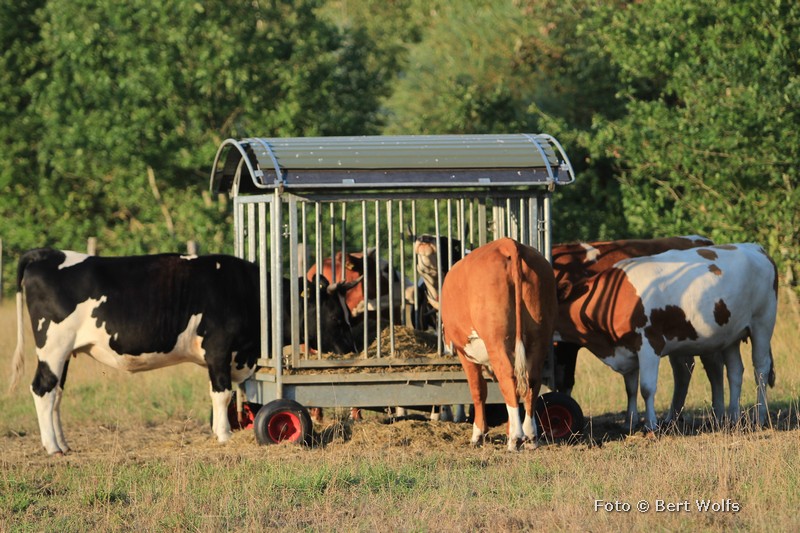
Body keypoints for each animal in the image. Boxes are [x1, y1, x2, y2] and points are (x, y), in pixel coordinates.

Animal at [8, 248, 357, 455]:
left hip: (65, 353)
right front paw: (224, 436)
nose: (353, 347)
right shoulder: (218, 349)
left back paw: (64, 444)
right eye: (336, 317)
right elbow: (222, 393)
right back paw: (52, 447)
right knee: (42, 390)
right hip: (53, 347)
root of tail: (47, 254)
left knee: (55, 394)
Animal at [441, 238, 557, 451]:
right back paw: (530, 436)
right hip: (540, 336)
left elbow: (478, 390)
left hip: (497, 341)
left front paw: (478, 434)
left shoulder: (466, 353)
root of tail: (508, 243)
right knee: (531, 381)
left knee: (508, 378)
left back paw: (516, 438)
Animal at [555, 243, 778, 431]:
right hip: (730, 335)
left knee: (761, 369)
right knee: (735, 371)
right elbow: (630, 388)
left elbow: (646, 388)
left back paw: (760, 417)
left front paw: (651, 425)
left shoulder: (649, 343)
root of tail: (755, 247)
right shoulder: (627, 348)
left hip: (762, 323)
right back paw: (732, 418)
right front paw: (630, 423)